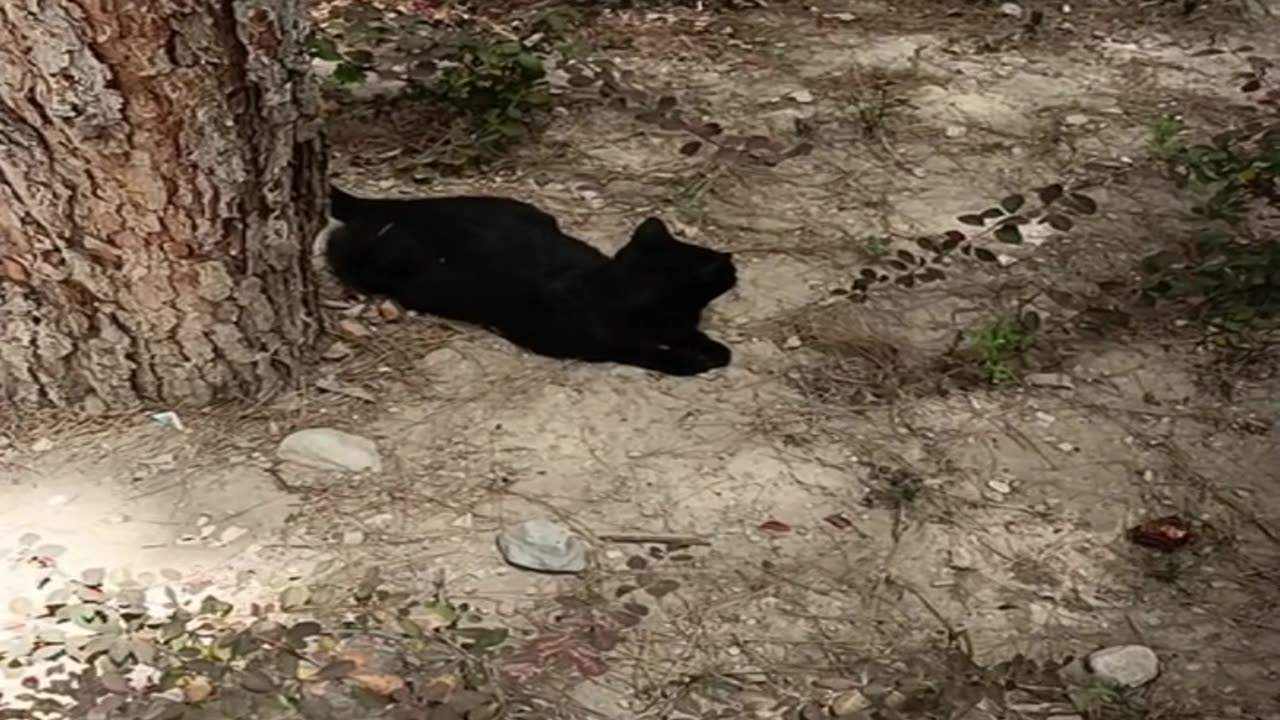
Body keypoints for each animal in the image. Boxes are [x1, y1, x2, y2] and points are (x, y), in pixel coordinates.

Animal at [325, 184, 737, 376]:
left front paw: (714, 349)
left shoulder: (678, 325)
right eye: (727, 271)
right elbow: (645, 351)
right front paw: (687, 361)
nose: (736, 270)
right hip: (376, 264)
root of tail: (401, 204)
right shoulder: (600, 345)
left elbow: (695, 336)